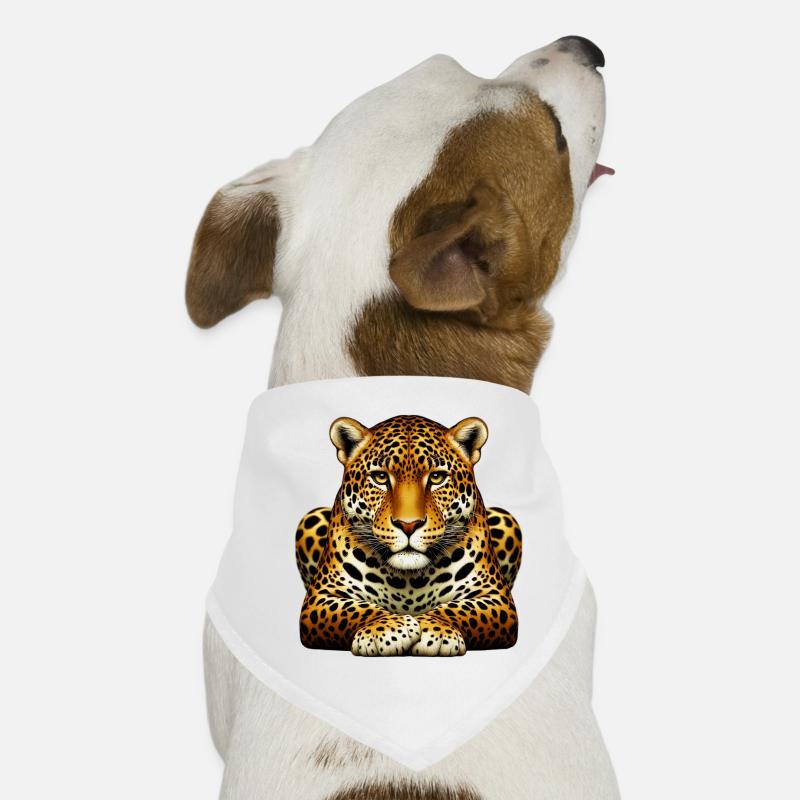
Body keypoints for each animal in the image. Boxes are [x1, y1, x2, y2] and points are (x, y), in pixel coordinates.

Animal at [296, 413, 523, 656]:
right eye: (379, 477)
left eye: (436, 477)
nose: (408, 525)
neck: (409, 582)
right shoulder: (320, 597)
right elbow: (355, 609)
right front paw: (384, 629)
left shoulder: (496, 597)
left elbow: (460, 609)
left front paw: (435, 629)